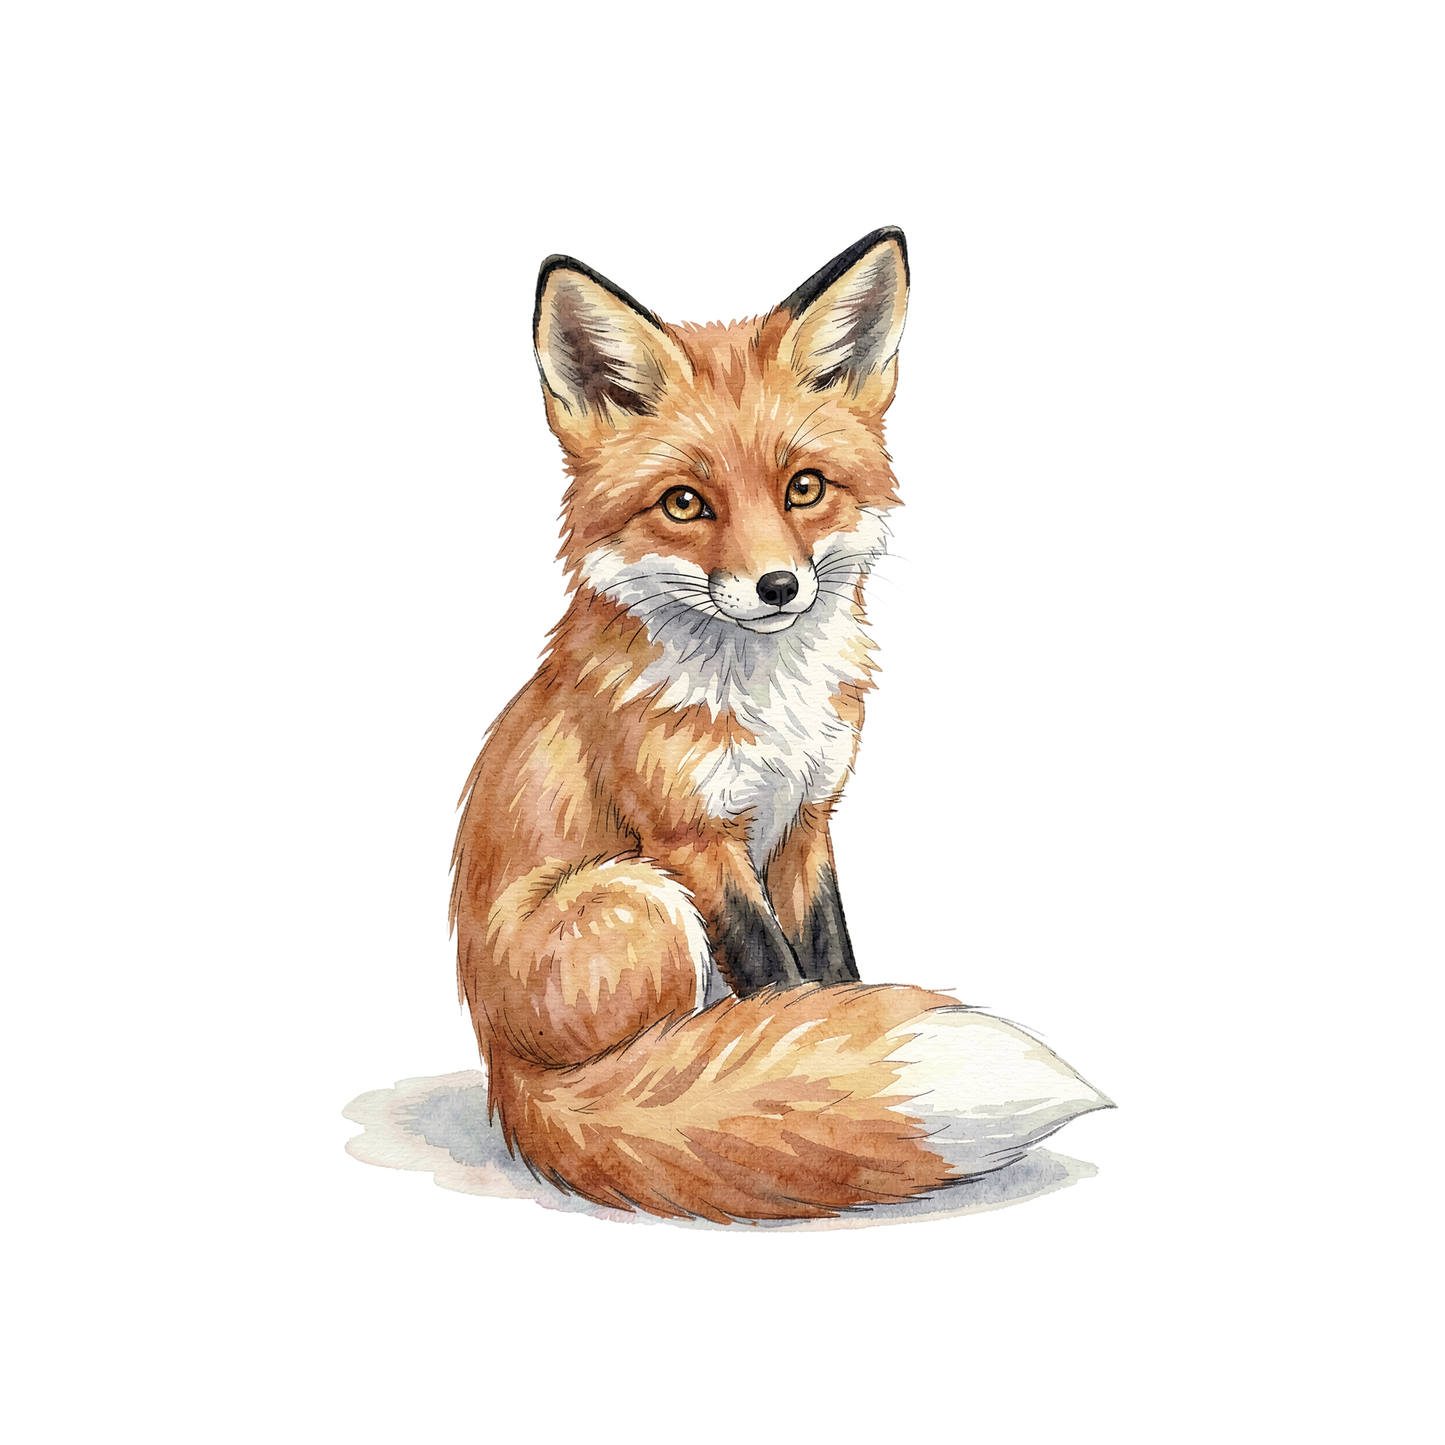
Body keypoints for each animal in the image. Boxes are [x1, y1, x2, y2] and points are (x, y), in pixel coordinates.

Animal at [450, 228, 1109, 1222]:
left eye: (804, 488)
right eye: (684, 503)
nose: (777, 587)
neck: (765, 707)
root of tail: (504, 1072)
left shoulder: (807, 816)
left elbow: (828, 968)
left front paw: (829, 1052)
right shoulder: (692, 839)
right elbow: (775, 976)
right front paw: (798, 1072)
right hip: (634, 896)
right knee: (631, 1066)